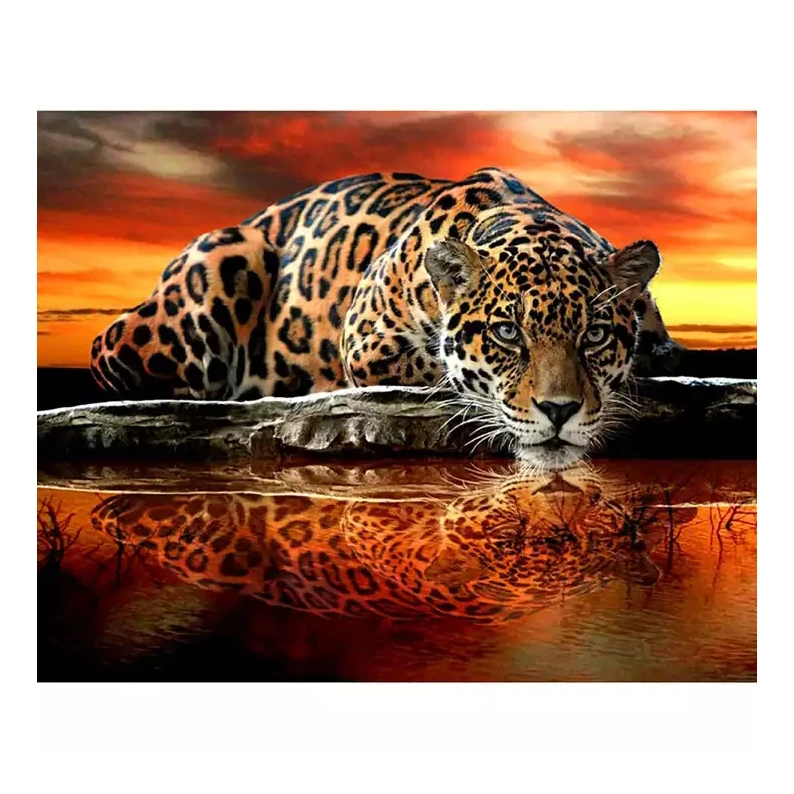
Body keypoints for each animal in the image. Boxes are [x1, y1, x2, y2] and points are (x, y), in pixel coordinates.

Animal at [89, 166, 678, 465]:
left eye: (594, 335)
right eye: (507, 333)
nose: (560, 411)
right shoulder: (367, 340)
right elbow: (439, 369)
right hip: (221, 263)